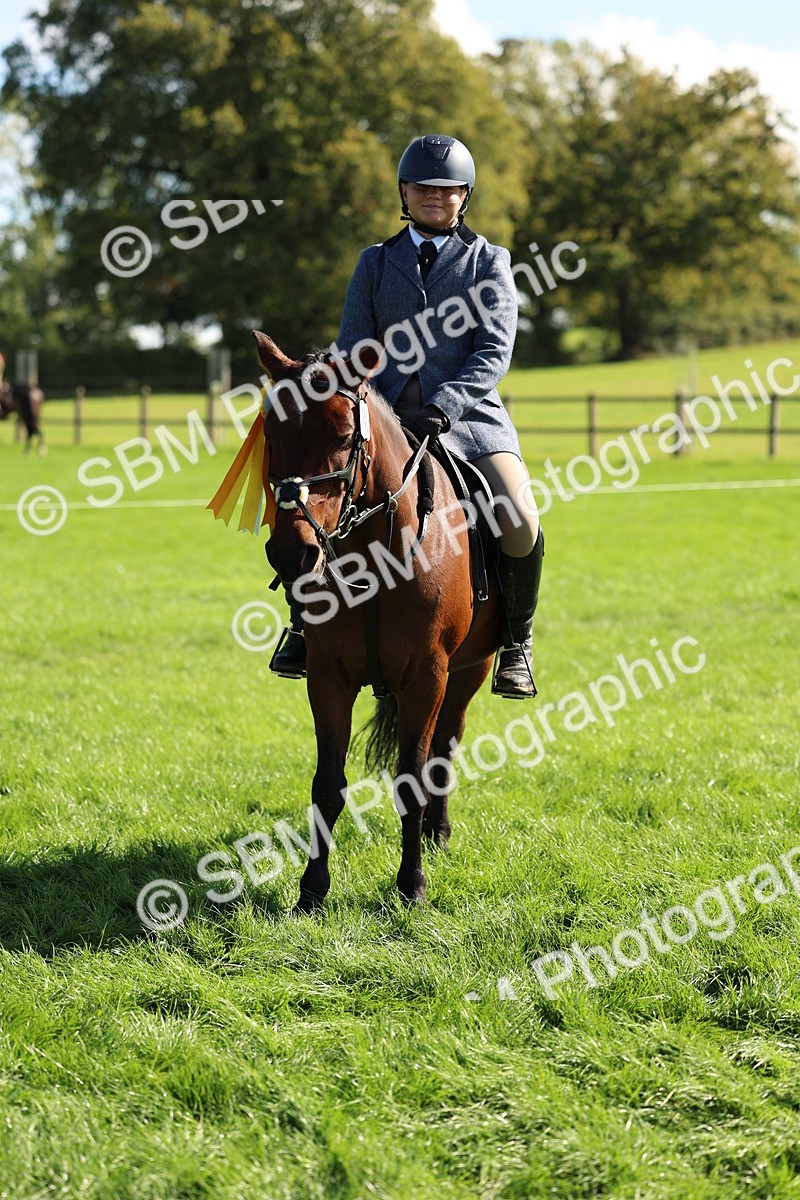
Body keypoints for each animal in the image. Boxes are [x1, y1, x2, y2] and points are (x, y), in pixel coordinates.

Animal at [255, 331, 506, 913]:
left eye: (346, 436)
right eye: (271, 435)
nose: (291, 555)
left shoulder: (426, 676)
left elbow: (413, 778)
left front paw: (411, 885)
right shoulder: (329, 676)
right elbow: (327, 784)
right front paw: (311, 891)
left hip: (471, 669)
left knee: (446, 744)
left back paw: (437, 833)